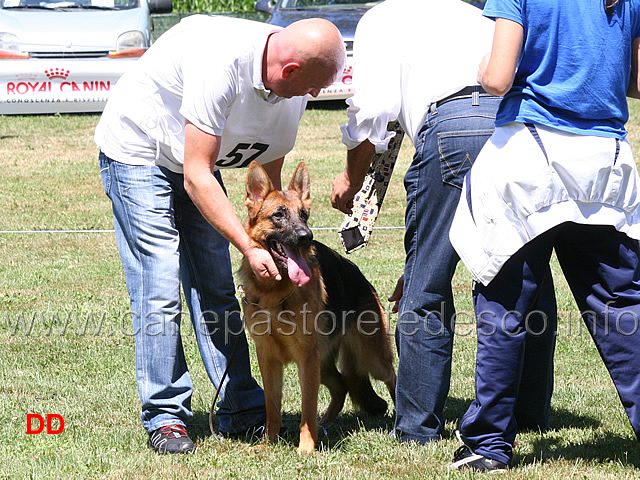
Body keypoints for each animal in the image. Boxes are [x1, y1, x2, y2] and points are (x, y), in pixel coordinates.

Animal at [240, 160, 398, 454]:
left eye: (304, 215)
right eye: (278, 215)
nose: (306, 236)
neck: (277, 292)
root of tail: (362, 278)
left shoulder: (306, 358)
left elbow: (307, 406)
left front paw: (306, 447)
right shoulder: (268, 358)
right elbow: (272, 407)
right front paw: (269, 442)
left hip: (368, 357)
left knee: (393, 379)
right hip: (323, 364)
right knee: (342, 386)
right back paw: (325, 423)